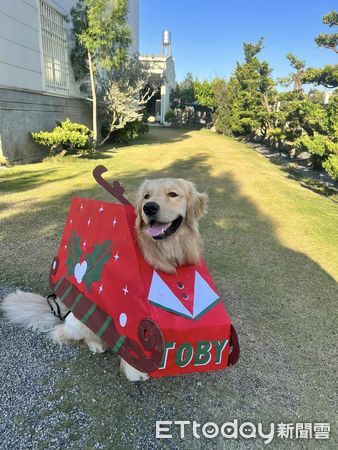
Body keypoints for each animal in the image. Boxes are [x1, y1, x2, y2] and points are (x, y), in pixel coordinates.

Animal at [0, 178, 207, 382]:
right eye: (146, 196)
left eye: (173, 194)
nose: (149, 208)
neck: (164, 254)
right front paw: (134, 371)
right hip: (80, 320)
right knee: (70, 334)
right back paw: (95, 345)